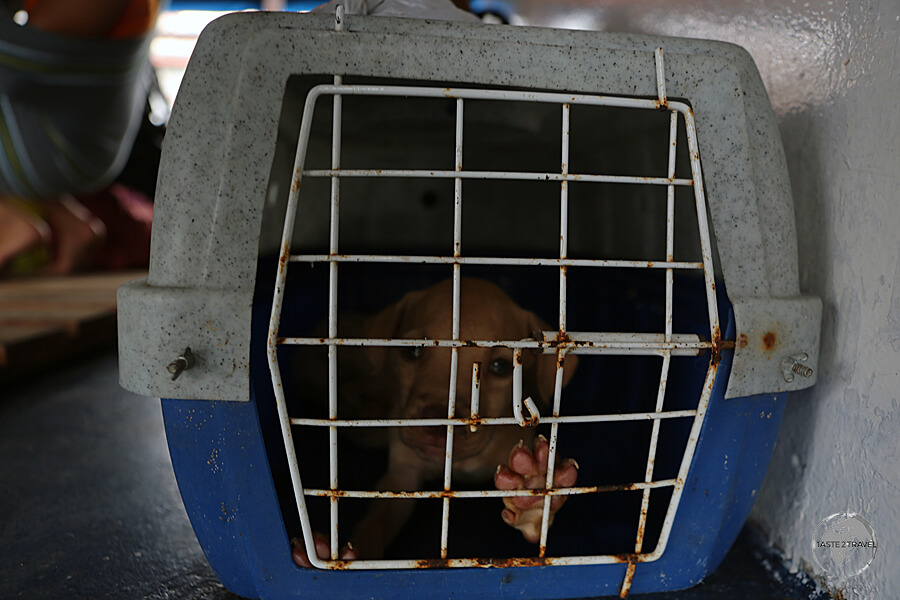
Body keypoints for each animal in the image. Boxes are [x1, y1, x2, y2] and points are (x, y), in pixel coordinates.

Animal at [292, 278, 580, 564]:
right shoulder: (402, 476)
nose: (438, 420)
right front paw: (351, 555)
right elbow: (376, 520)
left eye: (499, 367)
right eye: (412, 351)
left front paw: (532, 494)